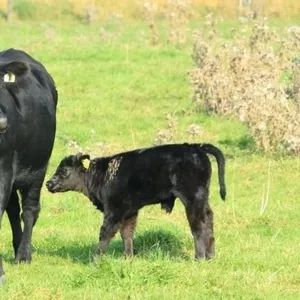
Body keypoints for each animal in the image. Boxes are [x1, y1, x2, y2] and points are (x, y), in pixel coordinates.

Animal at [46, 143, 225, 260]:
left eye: (63, 171)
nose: (48, 184)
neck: (102, 175)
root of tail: (196, 147)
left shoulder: (114, 210)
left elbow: (105, 233)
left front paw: (95, 260)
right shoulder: (130, 211)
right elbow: (127, 234)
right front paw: (128, 258)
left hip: (192, 199)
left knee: (198, 227)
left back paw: (199, 258)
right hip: (203, 199)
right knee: (209, 221)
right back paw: (211, 257)